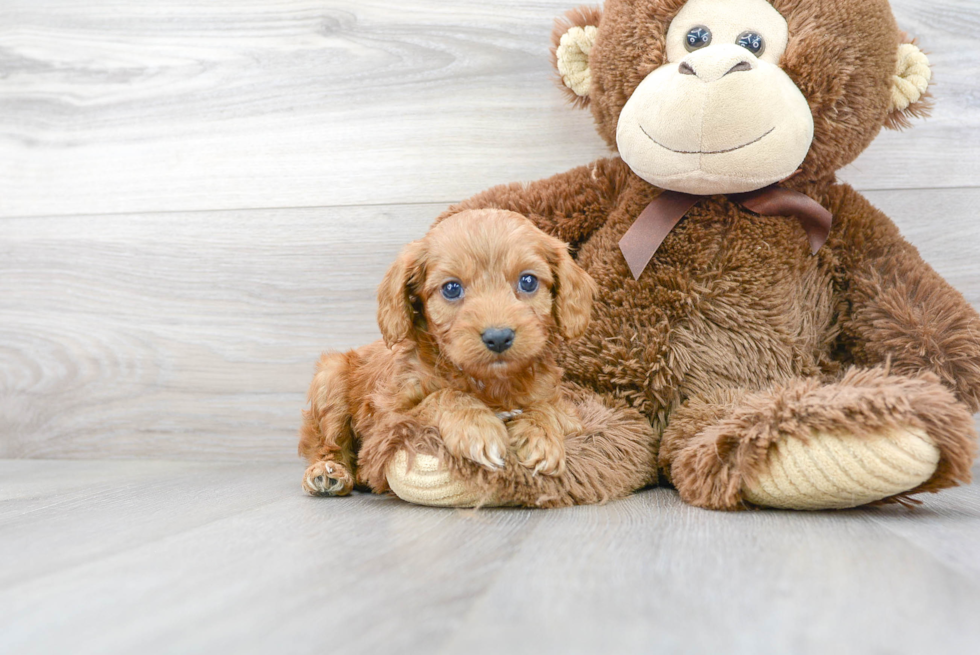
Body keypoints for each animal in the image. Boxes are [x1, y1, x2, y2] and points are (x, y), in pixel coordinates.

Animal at [296, 208, 596, 494]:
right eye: (452, 288)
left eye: (528, 282)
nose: (498, 337)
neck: (489, 383)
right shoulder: (389, 421)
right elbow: (444, 395)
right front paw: (477, 426)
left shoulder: (567, 410)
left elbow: (547, 408)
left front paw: (540, 435)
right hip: (330, 379)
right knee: (328, 444)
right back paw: (328, 472)